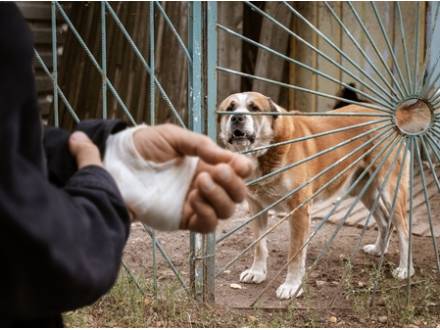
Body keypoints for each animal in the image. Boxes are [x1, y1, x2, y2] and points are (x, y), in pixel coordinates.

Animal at [219, 92, 412, 300]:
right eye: (230, 108)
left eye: (254, 108)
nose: (237, 117)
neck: (268, 149)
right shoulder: (256, 206)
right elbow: (259, 245)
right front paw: (257, 272)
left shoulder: (299, 211)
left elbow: (295, 254)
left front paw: (292, 286)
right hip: (364, 190)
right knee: (385, 221)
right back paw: (378, 250)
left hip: (391, 189)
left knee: (404, 230)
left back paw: (405, 269)